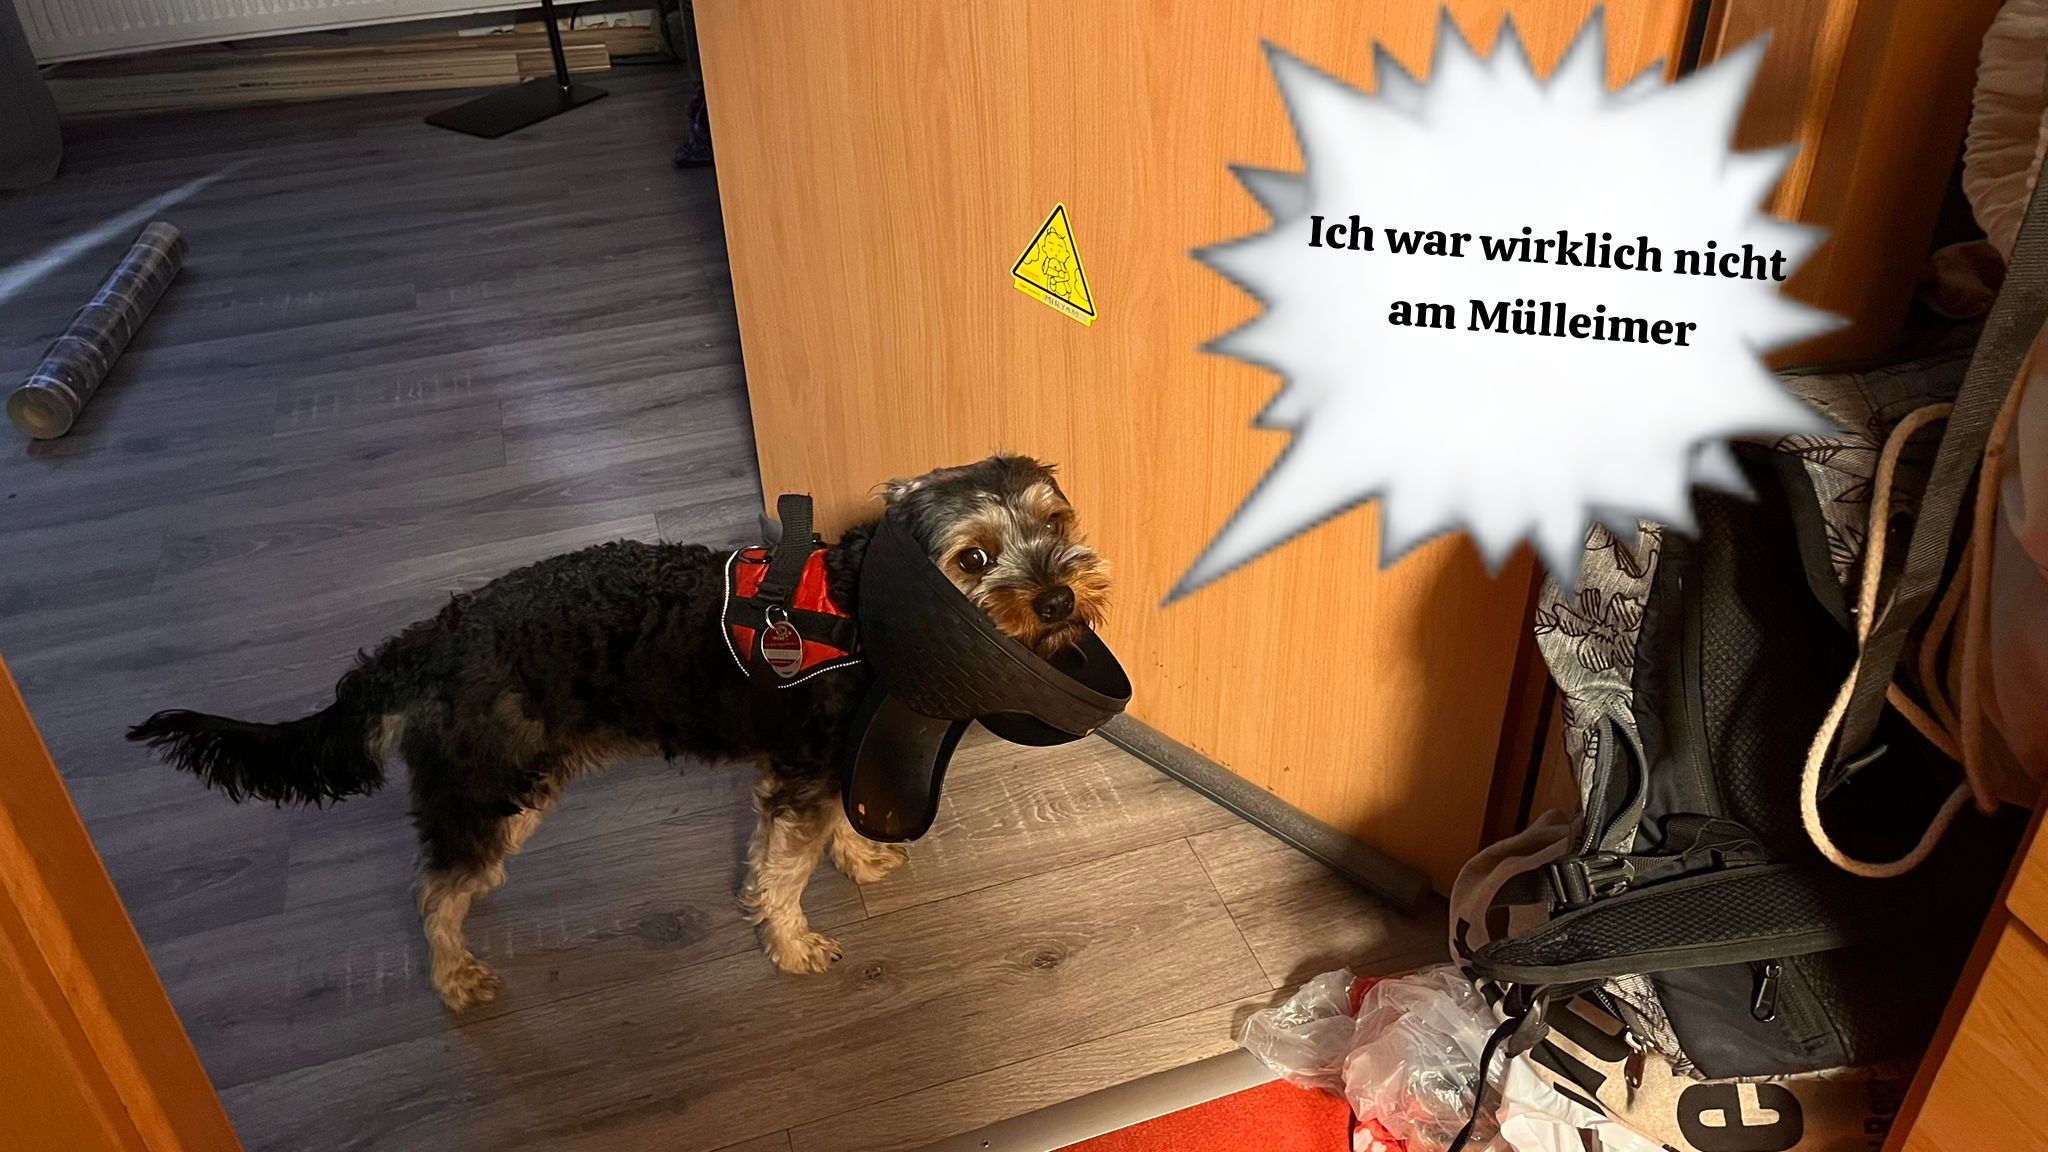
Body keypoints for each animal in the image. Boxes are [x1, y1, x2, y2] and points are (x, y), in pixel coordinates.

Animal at [129, 455, 1110, 1011]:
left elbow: (832, 831)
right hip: (495, 788)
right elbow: (779, 873)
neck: (867, 610)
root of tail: (432, 642)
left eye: (1057, 522)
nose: (1061, 597)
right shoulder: (798, 776)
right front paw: (791, 946)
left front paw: (859, 861)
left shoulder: (831, 766)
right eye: (972, 560)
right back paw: (454, 977)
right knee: (432, 892)